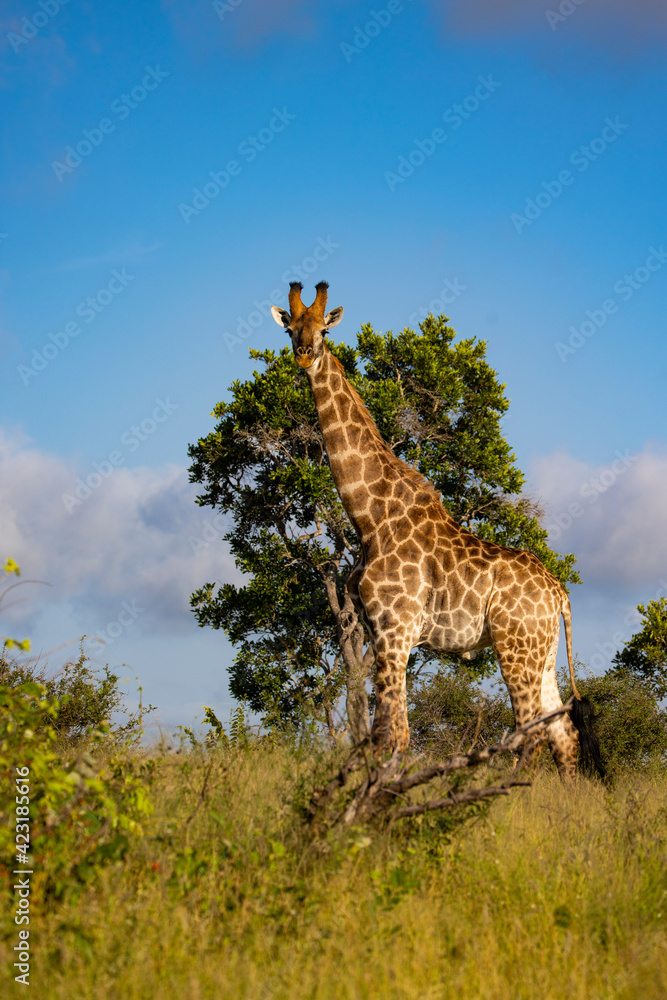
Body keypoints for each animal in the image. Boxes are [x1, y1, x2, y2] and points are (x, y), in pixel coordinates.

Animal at [270, 281, 603, 779]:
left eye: (324, 330)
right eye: (290, 328)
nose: (304, 355)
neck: (370, 516)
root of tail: (559, 593)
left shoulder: (395, 629)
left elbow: (391, 734)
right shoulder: (382, 633)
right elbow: (388, 732)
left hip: (514, 647)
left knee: (531, 732)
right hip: (541, 654)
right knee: (562, 732)